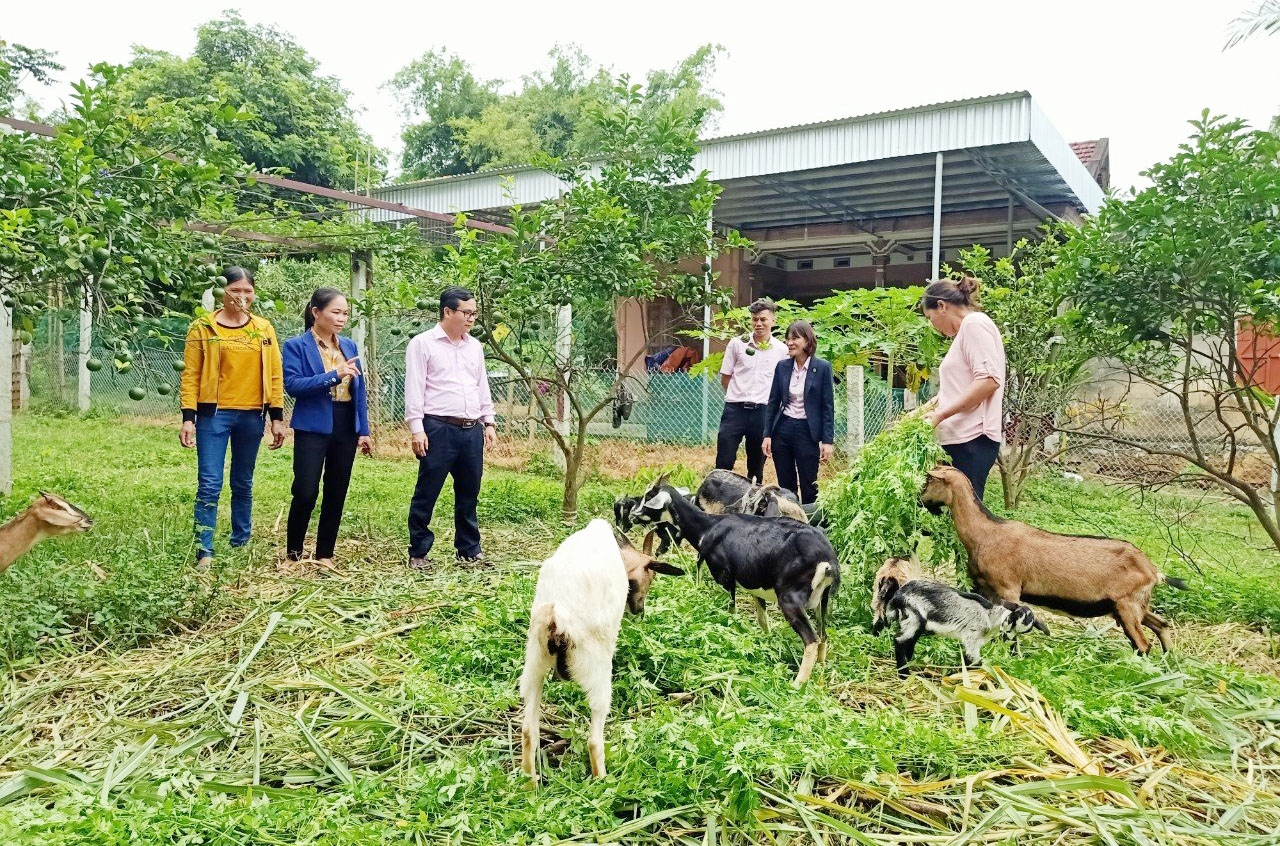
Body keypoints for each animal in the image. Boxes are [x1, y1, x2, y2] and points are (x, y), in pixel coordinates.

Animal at [632, 476, 839, 686]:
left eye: (648, 497)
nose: (633, 515)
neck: (709, 527)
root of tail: (826, 559)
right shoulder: (755, 586)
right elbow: (762, 620)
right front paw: (767, 643)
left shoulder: (724, 578)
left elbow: (731, 612)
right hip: (823, 599)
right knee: (823, 634)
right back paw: (821, 670)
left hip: (790, 599)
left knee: (811, 639)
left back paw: (797, 684)